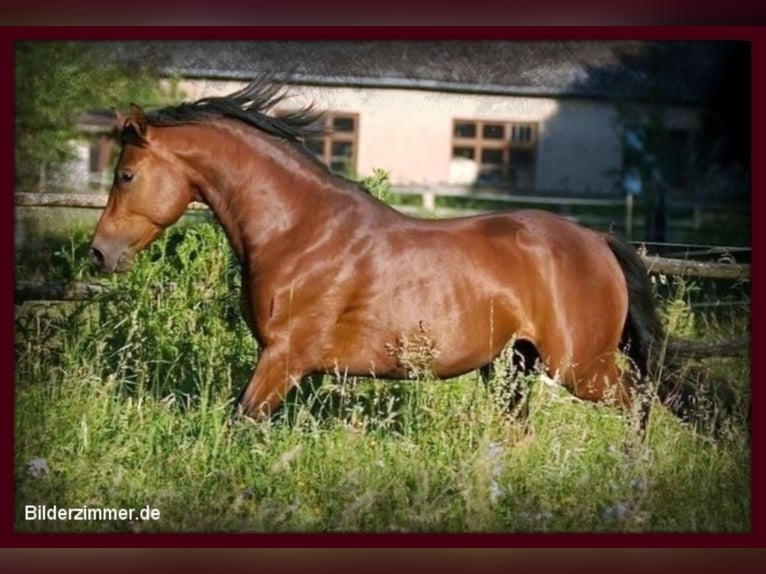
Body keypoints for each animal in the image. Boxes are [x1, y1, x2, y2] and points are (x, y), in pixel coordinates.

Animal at [88, 81, 664, 432]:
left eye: (126, 175)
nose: (98, 253)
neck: (299, 230)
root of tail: (598, 240)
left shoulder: (284, 356)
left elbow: (241, 421)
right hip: (517, 367)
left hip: (580, 367)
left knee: (639, 405)